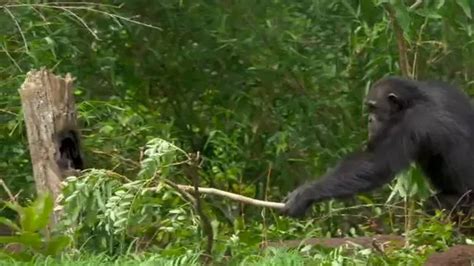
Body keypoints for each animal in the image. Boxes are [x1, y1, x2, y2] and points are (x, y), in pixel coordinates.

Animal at [282, 76, 474, 217]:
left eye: (373, 107)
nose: (369, 120)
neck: (413, 101)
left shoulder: (412, 124)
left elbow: (376, 163)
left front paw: (305, 194)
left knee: (435, 205)